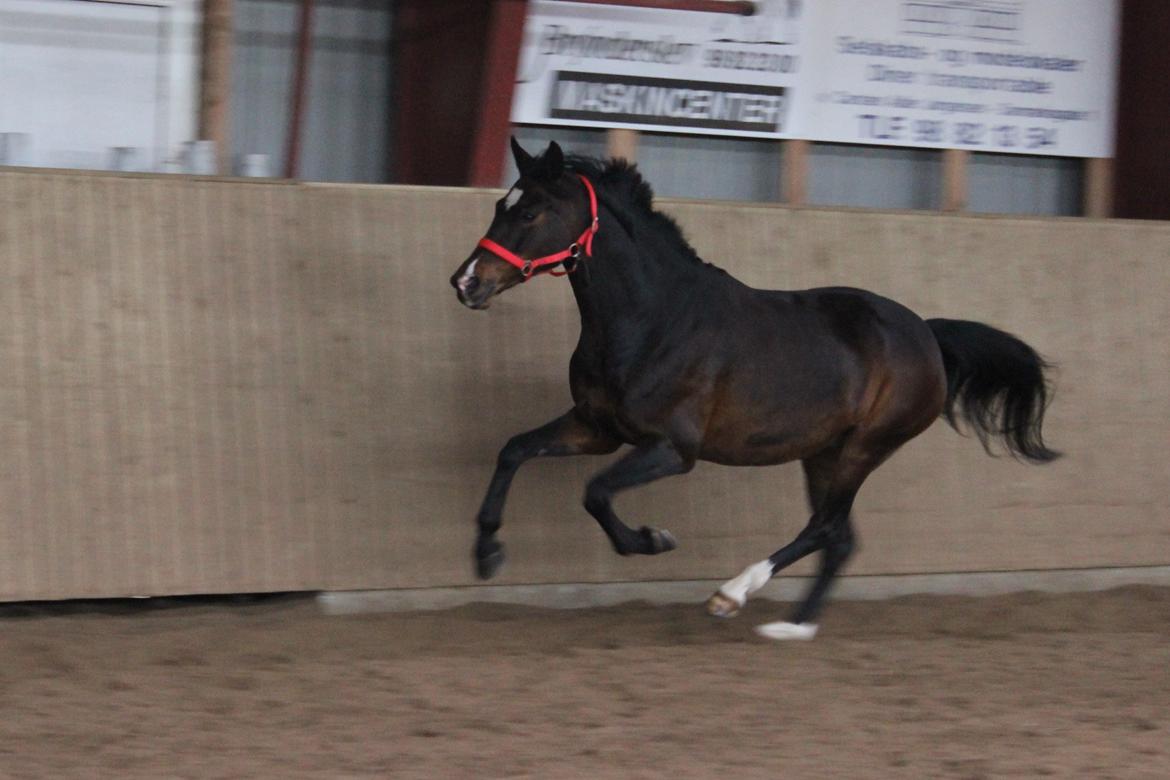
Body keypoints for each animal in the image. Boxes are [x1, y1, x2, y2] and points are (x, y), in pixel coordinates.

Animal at [449, 138, 1062, 640]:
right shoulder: (596, 427)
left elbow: (596, 492)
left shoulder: (672, 449)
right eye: (500, 207)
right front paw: (487, 553)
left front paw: (653, 540)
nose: (466, 282)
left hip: (866, 447)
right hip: (823, 452)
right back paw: (794, 626)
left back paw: (731, 596)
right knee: (840, 537)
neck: (654, 318)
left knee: (825, 526)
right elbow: (514, 450)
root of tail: (928, 336)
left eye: (532, 211)